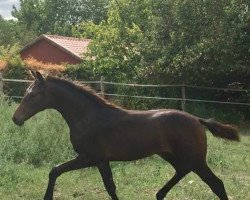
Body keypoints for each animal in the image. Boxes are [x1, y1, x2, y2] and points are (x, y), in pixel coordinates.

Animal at [12, 71, 239, 199]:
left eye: (33, 95)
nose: (16, 119)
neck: (87, 116)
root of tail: (197, 120)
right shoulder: (98, 160)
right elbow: (108, 186)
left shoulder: (91, 158)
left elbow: (57, 171)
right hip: (171, 155)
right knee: (183, 171)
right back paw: (159, 194)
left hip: (196, 160)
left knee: (216, 184)